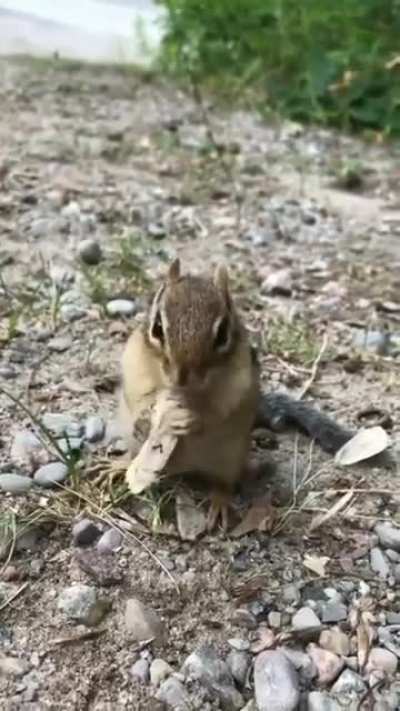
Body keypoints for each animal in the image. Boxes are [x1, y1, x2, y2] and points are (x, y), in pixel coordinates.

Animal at [118, 259, 354, 530]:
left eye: (222, 334)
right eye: (157, 327)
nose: (181, 377)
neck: (186, 393)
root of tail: (185, 469)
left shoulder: (238, 384)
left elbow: (217, 411)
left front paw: (193, 419)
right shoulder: (135, 367)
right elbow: (141, 401)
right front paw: (154, 416)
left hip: (230, 457)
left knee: (224, 483)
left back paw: (219, 504)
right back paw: (115, 465)